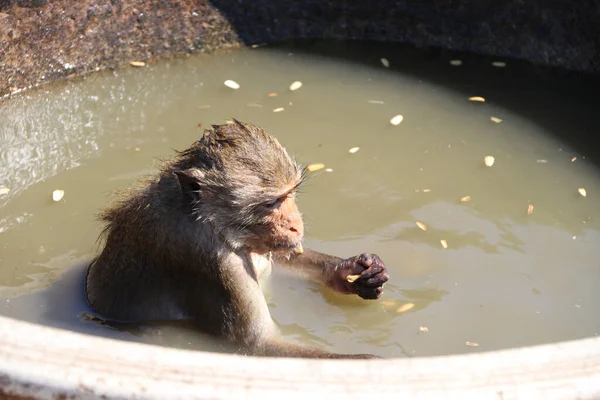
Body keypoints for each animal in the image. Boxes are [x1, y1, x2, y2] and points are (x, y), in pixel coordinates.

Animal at [84, 119, 390, 360]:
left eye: (290, 193)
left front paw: (350, 271)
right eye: (271, 203)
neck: (210, 221)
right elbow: (260, 345)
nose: (295, 224)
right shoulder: (212, 262)